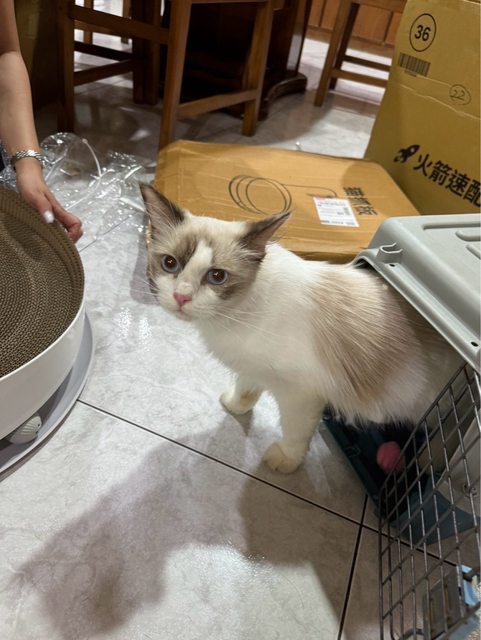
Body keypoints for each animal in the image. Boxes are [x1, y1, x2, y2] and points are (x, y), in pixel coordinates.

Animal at [140, 183, 458, 474]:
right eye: (170, 263)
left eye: (217, 276)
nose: (181, 297)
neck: (235, 315)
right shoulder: (252, 364)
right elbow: (246, 388)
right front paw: (235, 405)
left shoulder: (301, 395)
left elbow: (295, 433)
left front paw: (285, 461)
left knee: (447, 442)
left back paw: (426, 467)